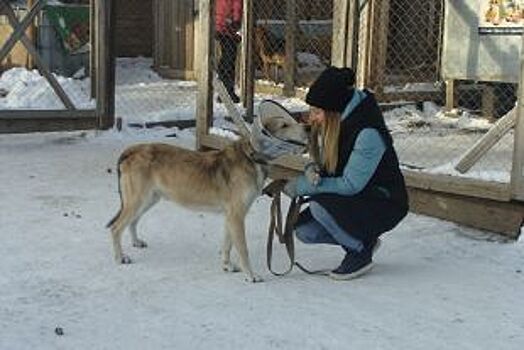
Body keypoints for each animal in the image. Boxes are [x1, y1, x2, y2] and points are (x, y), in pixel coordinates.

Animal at [108, 117, 310, 282]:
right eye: (284, 125)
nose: (308, 127)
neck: (252, 156)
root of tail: (133, 149)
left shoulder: (231, 217)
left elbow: (227, 244)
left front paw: (227, 265)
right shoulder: (237, 216)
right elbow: (243, 249)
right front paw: (250, 275)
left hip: (147, 200)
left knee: (132, 221)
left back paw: (135, 242)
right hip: (137, 201)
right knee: (116, 227)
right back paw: (120, 257)